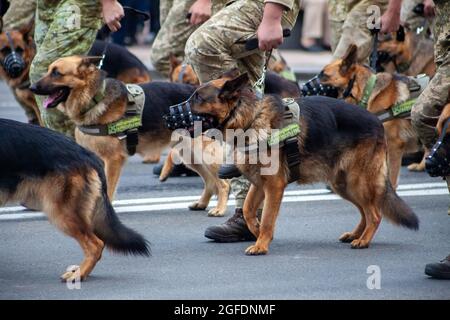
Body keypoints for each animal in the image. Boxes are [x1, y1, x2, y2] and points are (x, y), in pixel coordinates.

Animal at [168, 70, 418, 255]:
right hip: (343, 184)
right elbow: (248, 210)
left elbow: (268, 217)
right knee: (366, 212)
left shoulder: (274, 186)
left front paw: (261, 244)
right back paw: (356, 235)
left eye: (198, 98)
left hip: (358, 182)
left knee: (374, 214)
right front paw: (255, 231)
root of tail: (377, 121)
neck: (250, 118)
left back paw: (364, 241)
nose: (168, 113)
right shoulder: (259, 183)